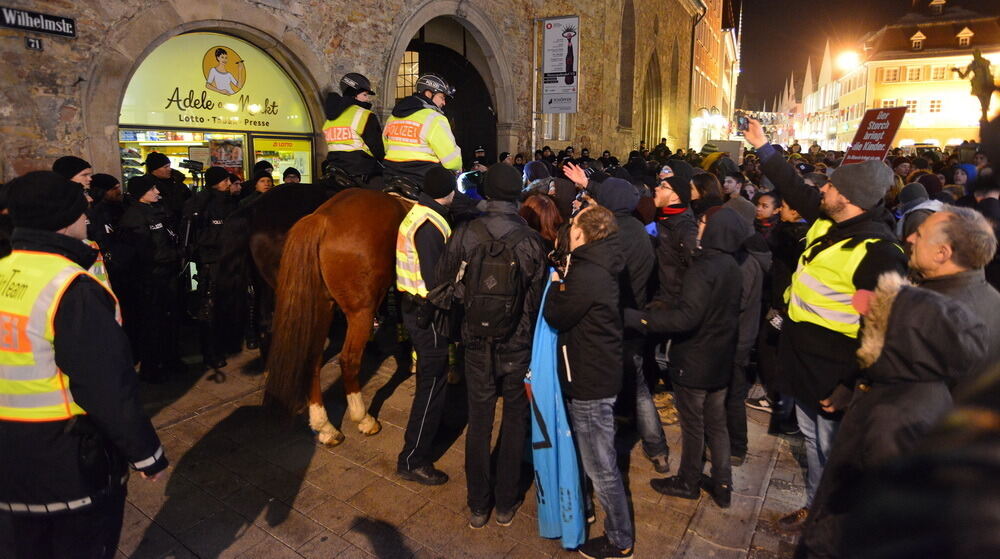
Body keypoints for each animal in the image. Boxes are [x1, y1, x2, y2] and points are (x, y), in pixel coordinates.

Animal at [264, 189, 412, 446]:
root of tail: (322, 219)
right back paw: (363, 418)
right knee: (349, 360)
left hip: (324, 307)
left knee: (313, 359)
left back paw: (325, 427)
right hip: (360, 311)